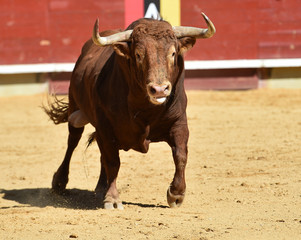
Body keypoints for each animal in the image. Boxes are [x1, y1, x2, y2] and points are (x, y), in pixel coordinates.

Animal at [44, 13, 213, 209]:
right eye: (138, 54)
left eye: (172, 53)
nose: (159, 90)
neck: (146, 109)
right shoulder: (105, 127)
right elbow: (113, 162)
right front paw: (112, 199)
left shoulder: (178, 123)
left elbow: (180, 155)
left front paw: (177, 194)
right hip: (75, 106)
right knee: (73, 141)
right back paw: (60, 182)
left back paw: (100, 188)